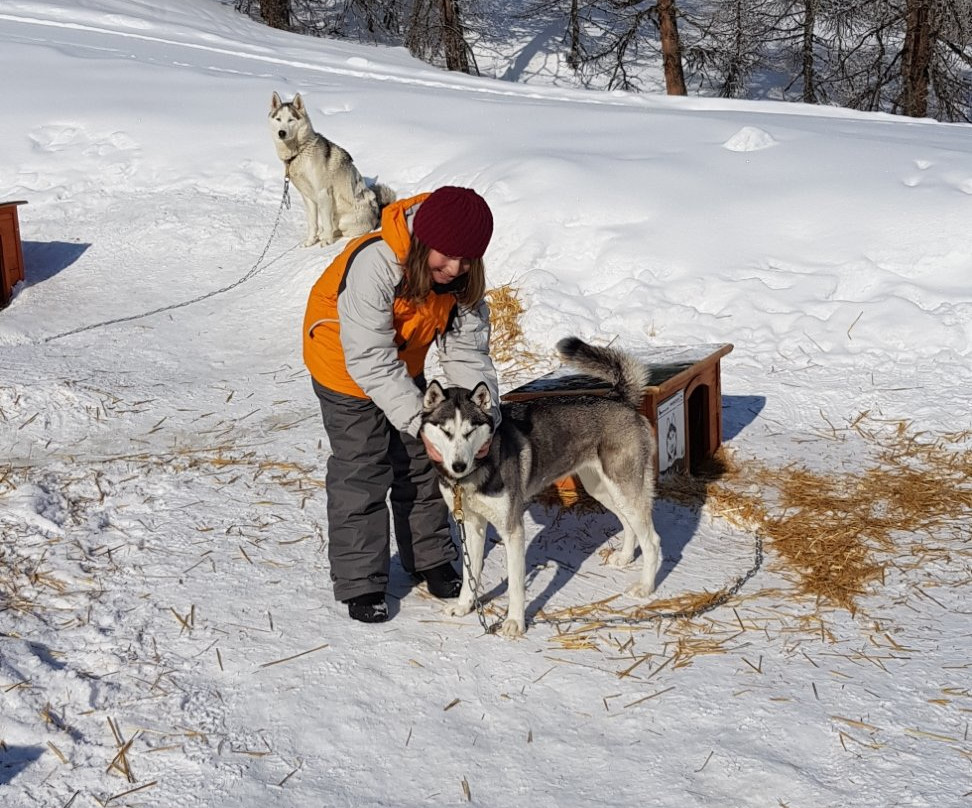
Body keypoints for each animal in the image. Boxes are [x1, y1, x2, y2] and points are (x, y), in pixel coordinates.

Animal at [266, 91, 394, 246]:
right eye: (278, 119)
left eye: (291, 120)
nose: (281, 132)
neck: (299, 152)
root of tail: (377, 213)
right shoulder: (307, 197)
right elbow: (312, 223)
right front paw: (310, 241)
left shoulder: (324, 193)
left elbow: (326, 223)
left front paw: (327, 240)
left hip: (345, 219)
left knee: (339, 229)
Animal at [422, 336, 664, 636]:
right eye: (446, 431)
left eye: (469, 431)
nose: (458, 465)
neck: (476, 471)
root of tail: (620, 399)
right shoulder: (472, 524)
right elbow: (471, 575)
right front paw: (465, 605)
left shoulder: (512, 529)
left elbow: (515, 585)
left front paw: (515, 622)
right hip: (602, 489)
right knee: (628, 524)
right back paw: (626, 557)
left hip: (623, 488)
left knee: (652, 540)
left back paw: (646, 587)